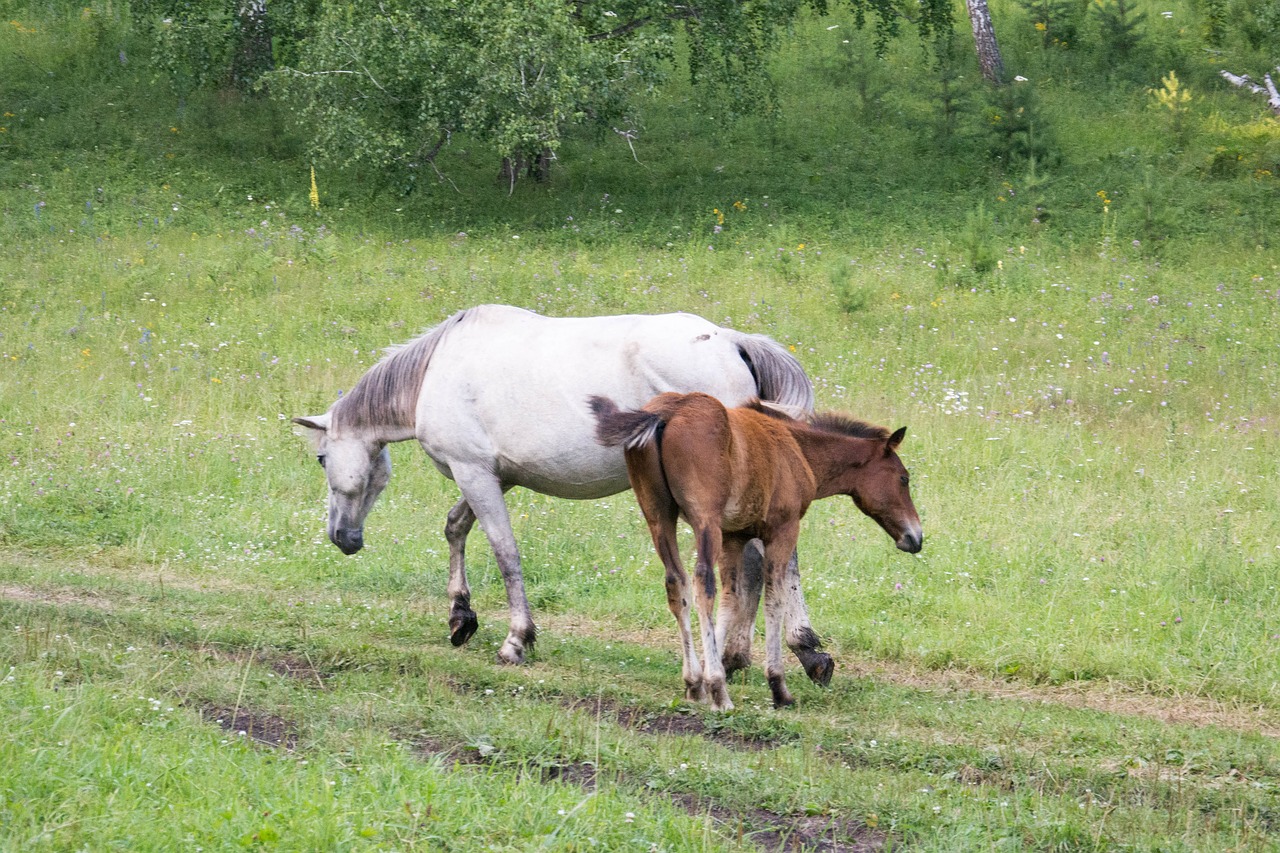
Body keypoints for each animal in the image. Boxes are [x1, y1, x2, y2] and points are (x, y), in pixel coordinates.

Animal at [294, 302, 814, 666]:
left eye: (321, 459)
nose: (342, 537)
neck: (435, 370)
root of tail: (731, 342)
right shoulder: (493, 476)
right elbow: (455, 527)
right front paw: (461, 616)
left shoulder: (474, 473)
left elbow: (505, 554)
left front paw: (516, 640)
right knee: (766, 562)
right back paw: (770, 653)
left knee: (757, 564)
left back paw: (749, 651)